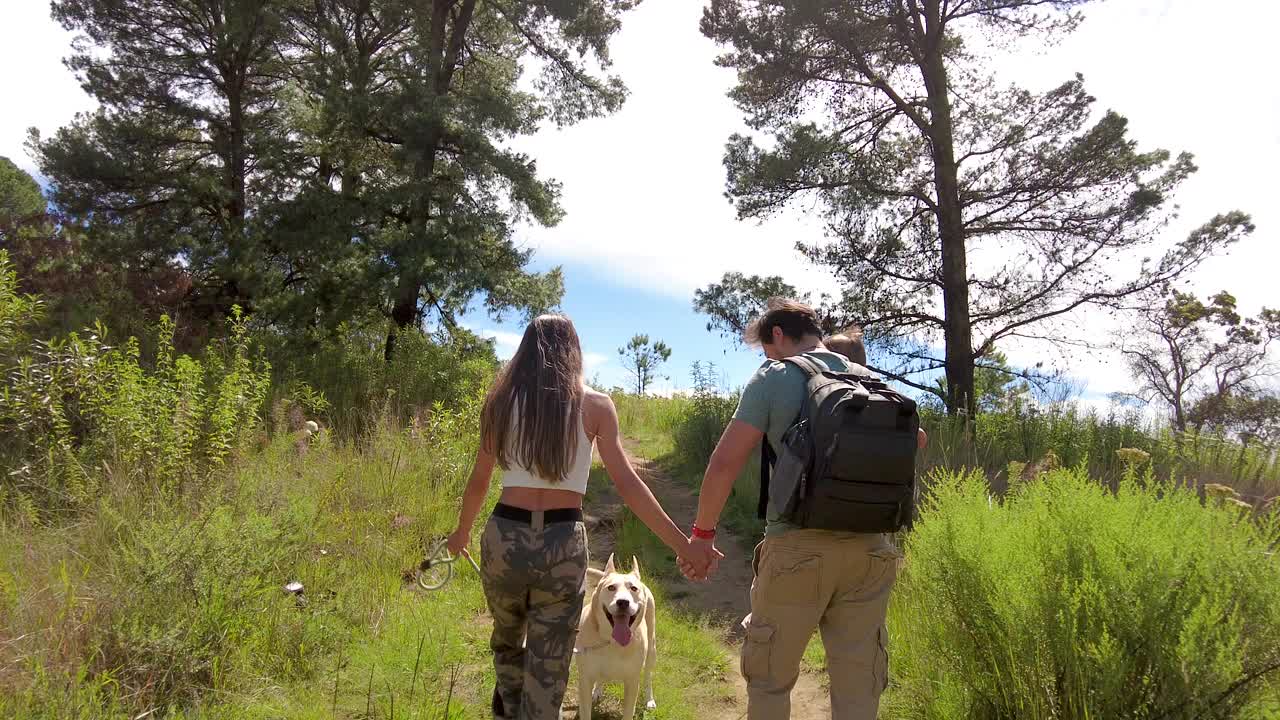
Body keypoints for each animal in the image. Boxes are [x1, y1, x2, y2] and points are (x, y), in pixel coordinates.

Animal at [581, 556, 660, 717]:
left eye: (633, 588)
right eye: (611, 587)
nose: (623, 602)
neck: (613, 642)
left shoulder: (632, 681)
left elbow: (628, 712)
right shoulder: (585, 680)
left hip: (652, 649)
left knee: (648, 675)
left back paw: (649, 700)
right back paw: (597, 691)